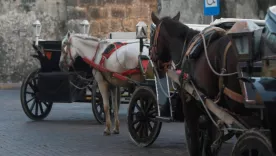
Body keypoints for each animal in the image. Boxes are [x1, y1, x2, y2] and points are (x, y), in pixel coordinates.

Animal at [149, 12, 258, 156]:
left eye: (152, 35)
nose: (151, 58)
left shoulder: (190, 104)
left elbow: (195, 141)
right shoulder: (211, 110)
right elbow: (209, 141)